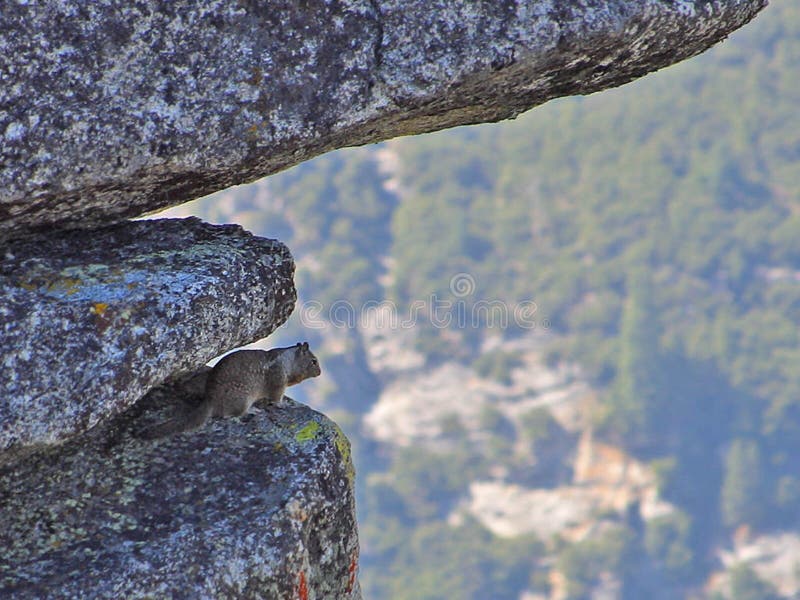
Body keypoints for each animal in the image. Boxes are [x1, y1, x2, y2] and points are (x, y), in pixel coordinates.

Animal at [142, 342, 321, 439]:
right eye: (313, 361)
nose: (320, 373)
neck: (289, 361)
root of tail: (210, 401)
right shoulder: (278, 382)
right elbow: (277, 398)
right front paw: (285, 405)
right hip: (243, 399)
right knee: (229, 415)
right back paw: (253, 411)